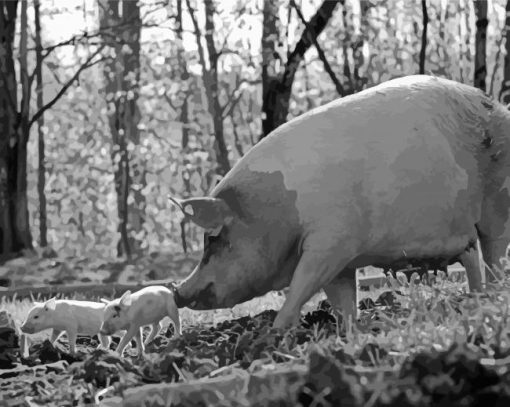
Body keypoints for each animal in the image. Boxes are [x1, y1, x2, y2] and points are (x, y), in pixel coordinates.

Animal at [170, 76, 510, 330]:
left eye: (214, 239)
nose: (177, 292)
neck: (275, 214)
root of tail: (499, 106)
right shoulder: (343, 259)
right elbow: (342, 298)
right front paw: (349, 330)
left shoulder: (332, 241)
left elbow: (301, 285)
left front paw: (274, 332)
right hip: (465, 231)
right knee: (473, 257)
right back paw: (475, 298)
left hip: (498, 204)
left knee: (494, 254)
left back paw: (493, 296)